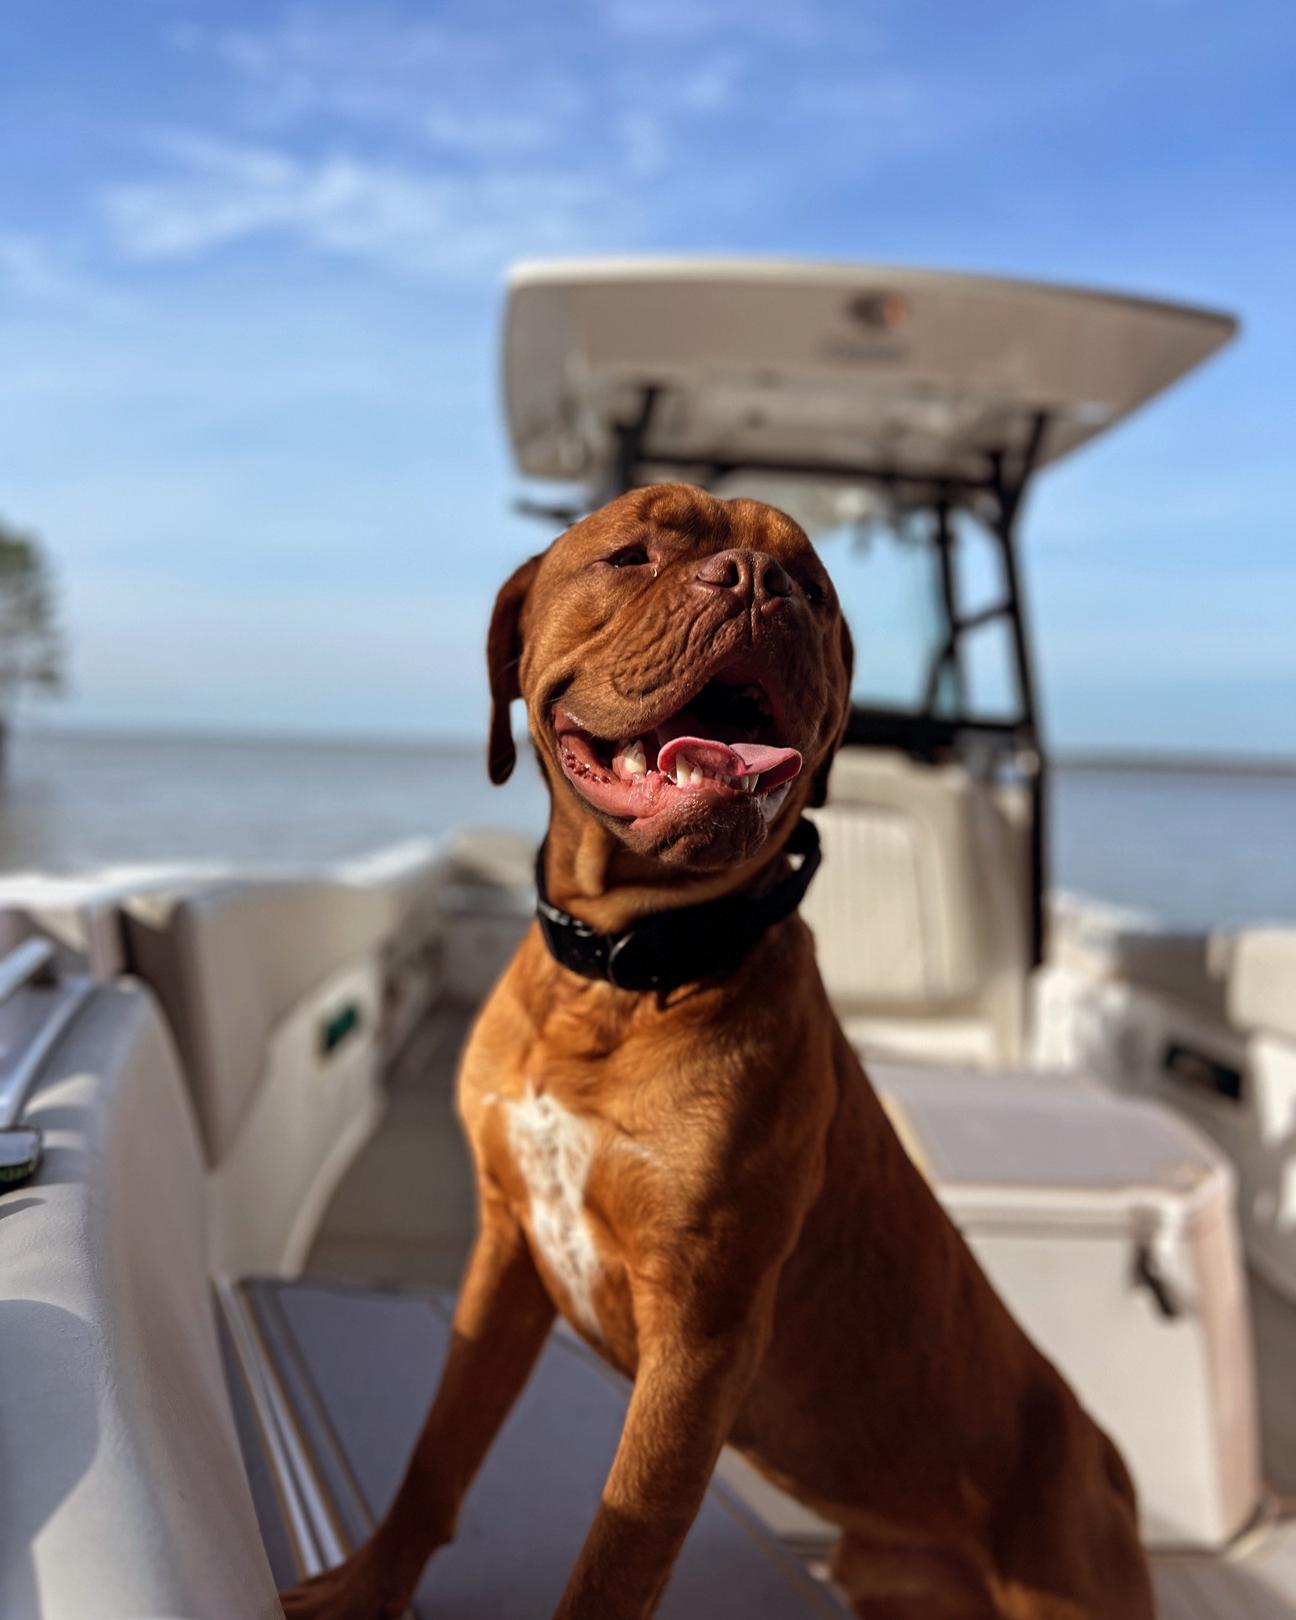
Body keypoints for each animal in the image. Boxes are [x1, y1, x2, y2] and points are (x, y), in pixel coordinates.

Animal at [282, 483, 1154, 1620]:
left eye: (814, 590)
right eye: (630, 553)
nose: (754, 580)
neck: (620, 973)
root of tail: (1112, 1463)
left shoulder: (700, 1336)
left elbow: (619, 1555)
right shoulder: (508, 1251)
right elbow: (440, 1447)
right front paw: (365, 1588)